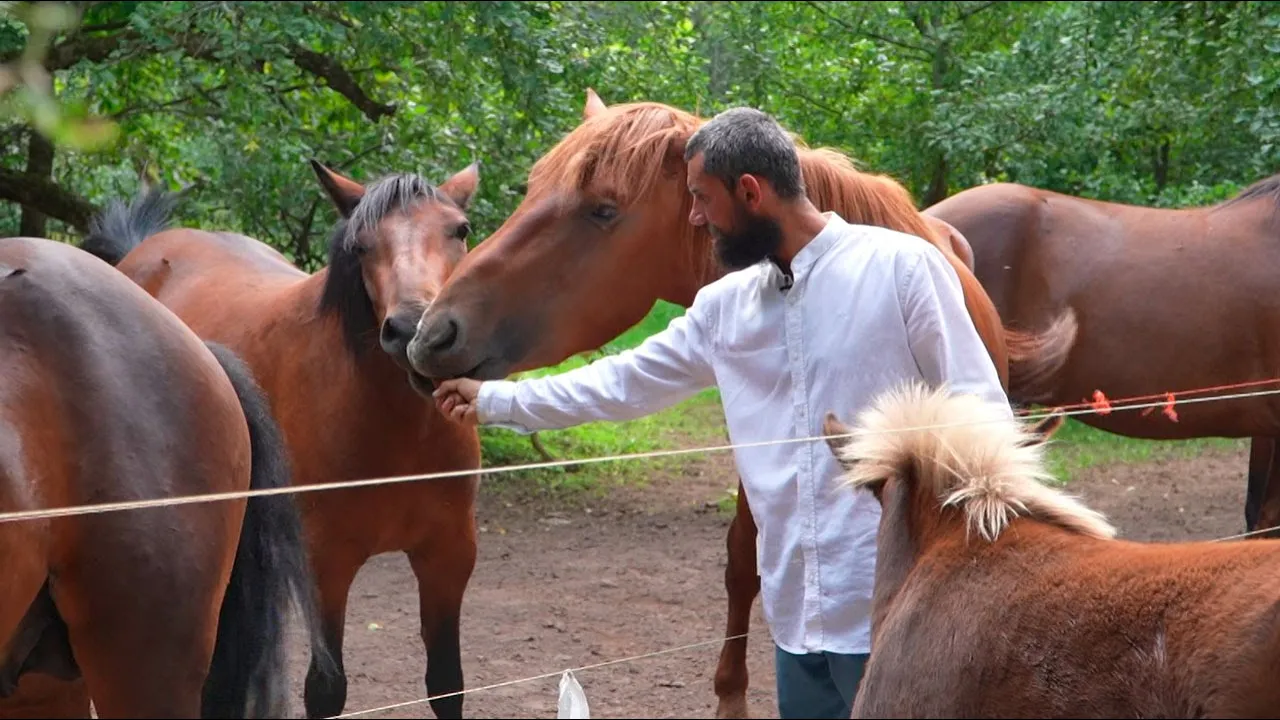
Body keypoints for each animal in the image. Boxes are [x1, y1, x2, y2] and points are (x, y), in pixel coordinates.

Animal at [80, 159, 483, 719]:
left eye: (459, 230)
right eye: (361, 245)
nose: (410, 330)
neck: (400, 432)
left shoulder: (448, 555)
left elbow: (447, 683)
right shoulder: (326, 565)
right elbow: (326, 690)